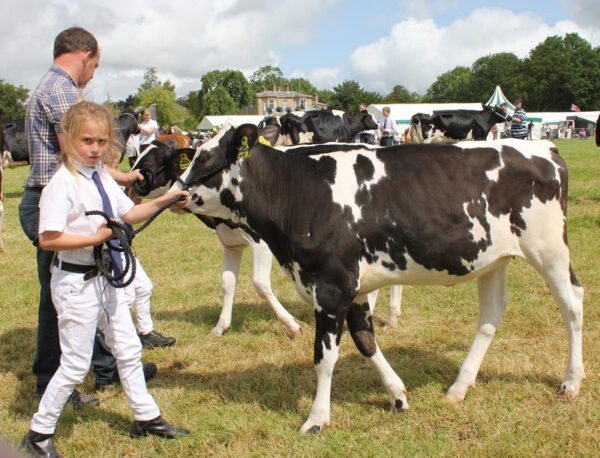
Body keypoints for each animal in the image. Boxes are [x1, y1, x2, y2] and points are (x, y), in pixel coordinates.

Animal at [171, 123, 584, 434]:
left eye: (205, 156)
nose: (176, 192)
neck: (301, 194)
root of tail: (543, 146)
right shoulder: (352, 289)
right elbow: (365, 341)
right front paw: (398, 395)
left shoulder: (332, 287)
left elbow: (324, 357)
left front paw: (316, 419)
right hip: (493, 259)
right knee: (491, 316)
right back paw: (458, 387)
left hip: (549, 249)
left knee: (572, 304)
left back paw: (571, 381)